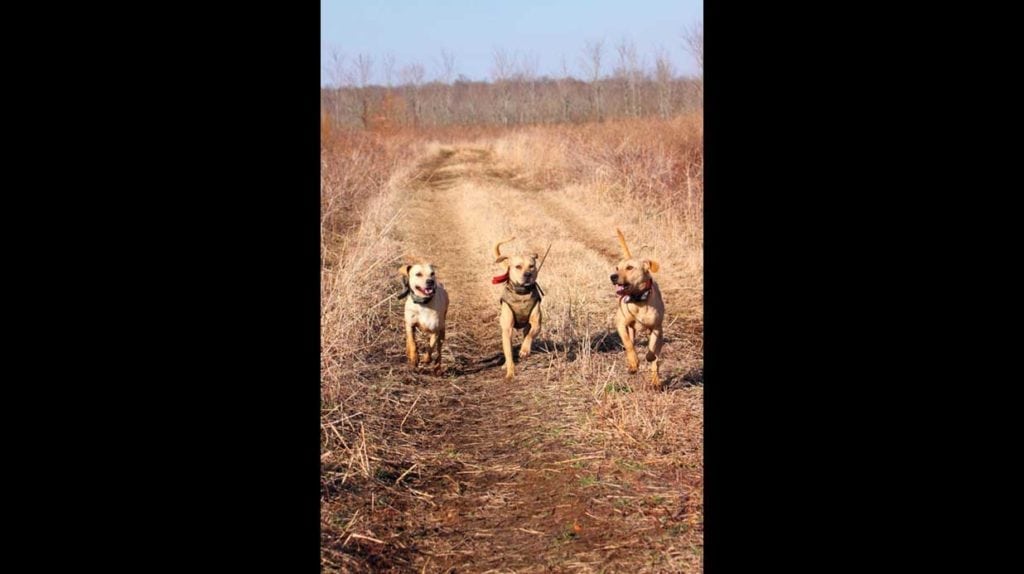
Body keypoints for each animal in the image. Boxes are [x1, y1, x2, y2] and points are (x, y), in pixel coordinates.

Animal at [489, 235, 540, 378]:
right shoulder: (507, 329)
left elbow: (530, 335)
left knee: (526, 333)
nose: (527, 274)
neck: (521, 293)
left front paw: (524, 350)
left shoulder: (536, 323)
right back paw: (506, 365)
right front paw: (510, 373)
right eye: (518, 266)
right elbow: (509, 353)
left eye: (531, 266)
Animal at [610, 228, 667, 388]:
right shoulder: (620, 324)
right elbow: (628, 344)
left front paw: (649, 356)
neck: (639, 300)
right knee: (631, 342)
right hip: (630, 328)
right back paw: (632, 366)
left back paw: (655, 381)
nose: (613, 276)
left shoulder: (657, 328)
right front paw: (634, 362)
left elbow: (652, 351)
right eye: (617, 268)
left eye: (630, 268)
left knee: (656, 362)